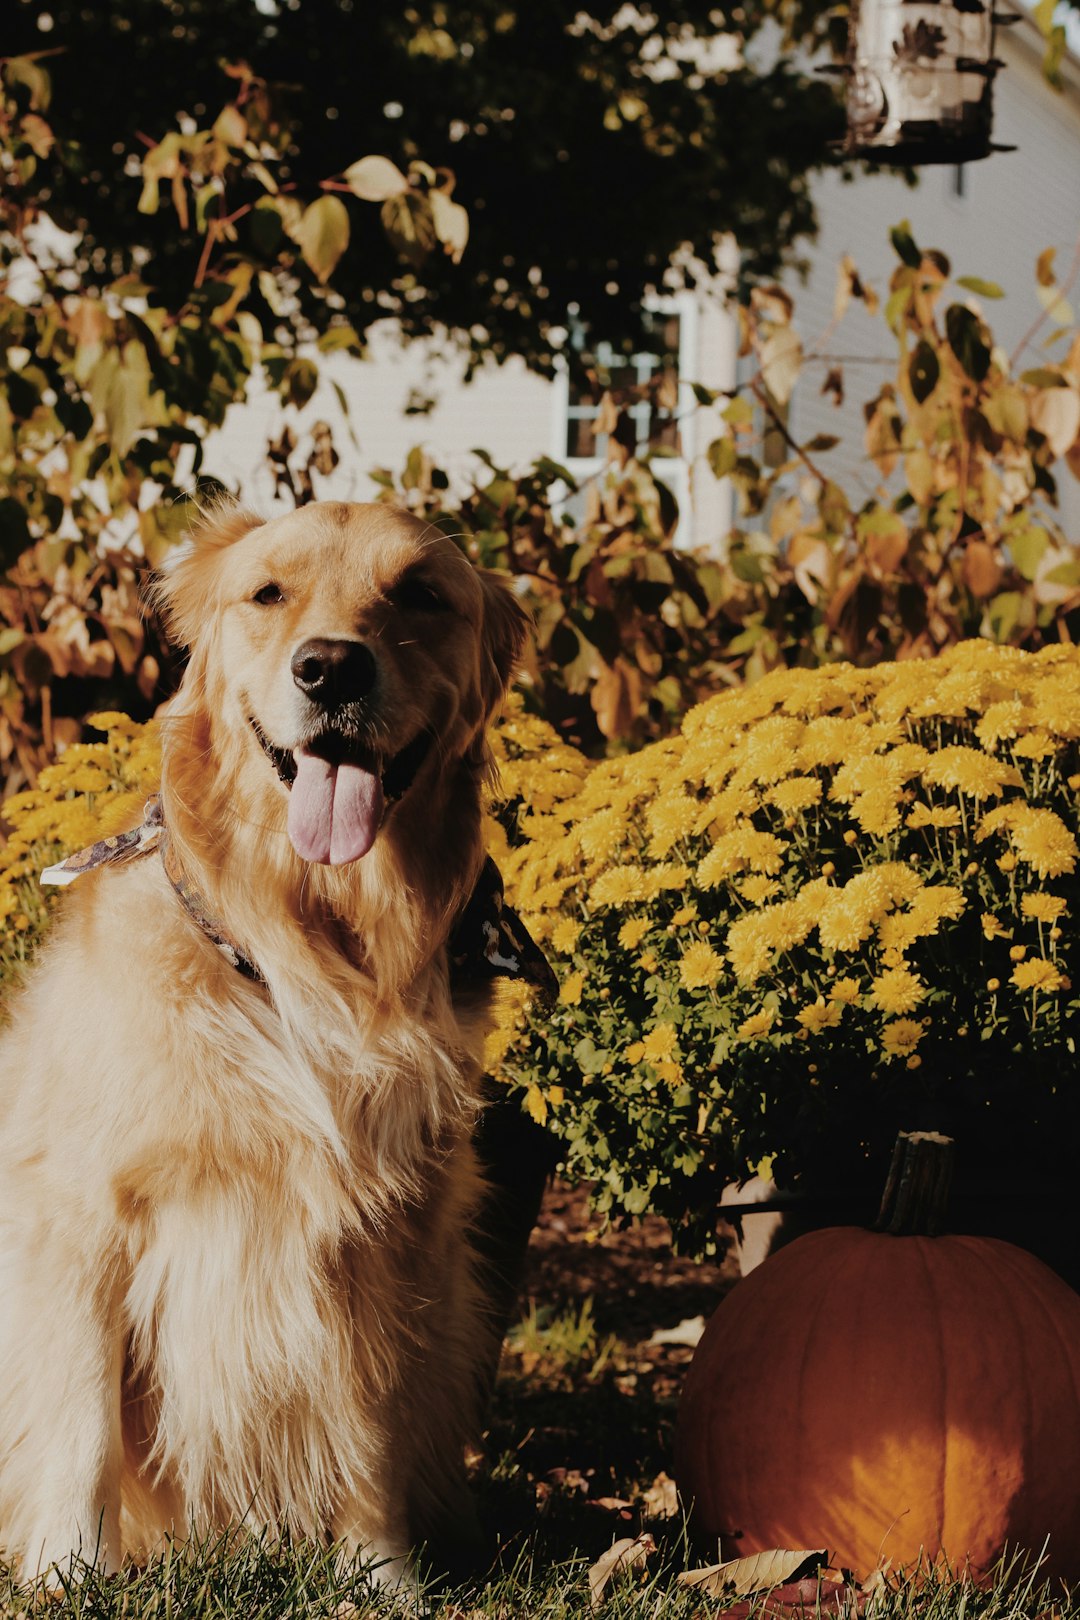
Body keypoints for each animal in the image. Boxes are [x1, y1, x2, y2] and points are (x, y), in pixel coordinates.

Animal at [0, 502, 544, 1581]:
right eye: (267, 593)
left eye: (420, 594)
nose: (331, 669)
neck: (302, 954)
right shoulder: (76, 1214)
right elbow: (79, 1425)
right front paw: (65, 1575)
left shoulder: (385, 1237)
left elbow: (366, 1430)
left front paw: (382, 1578)